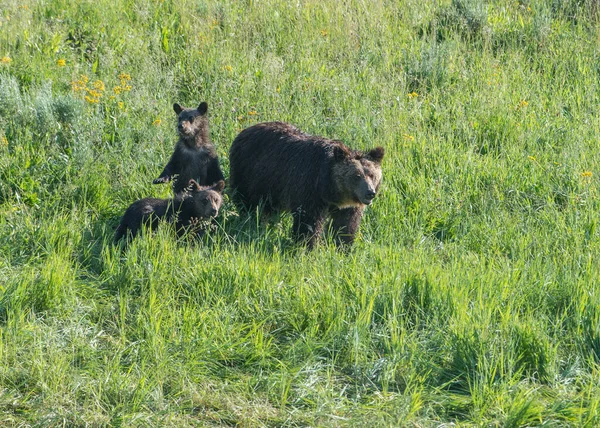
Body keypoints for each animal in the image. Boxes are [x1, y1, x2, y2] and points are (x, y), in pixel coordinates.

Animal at [227, 121, 382, 247]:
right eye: (356, 176)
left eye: (372, 175)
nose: (370, 193)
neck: (329, 188)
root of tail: (244, 131)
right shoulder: (309, 187)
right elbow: (308, 222)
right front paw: (306, 245)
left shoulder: (346, 206)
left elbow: (346, 224)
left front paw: (343, 246)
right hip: (251, 175)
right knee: (248, 203)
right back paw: (252, 223)